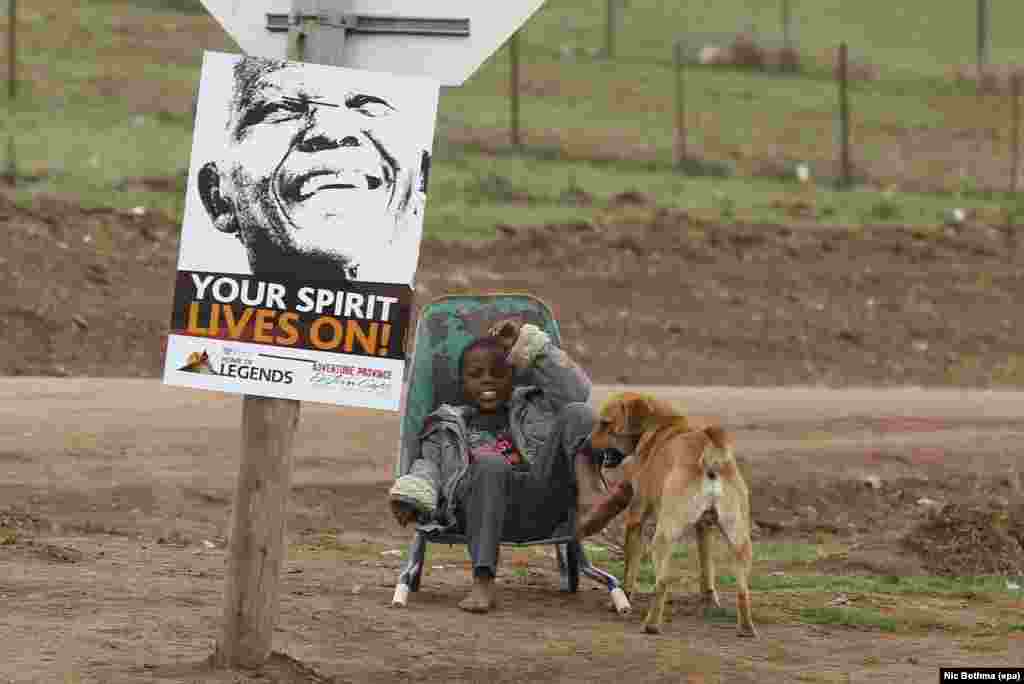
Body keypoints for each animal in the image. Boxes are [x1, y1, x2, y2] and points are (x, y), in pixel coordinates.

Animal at [589, 393, 757, 638]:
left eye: (605, 423)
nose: (585, 444)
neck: (660, 426)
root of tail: (711, 454)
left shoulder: (636, 519)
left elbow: (629, 570)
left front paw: (622, 599)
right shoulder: (704, 527)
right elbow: (706, 568)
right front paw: (708, 600)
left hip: (663, 537)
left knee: (662, 583)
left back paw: (651, 625)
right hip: (740, 541)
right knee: (743, 589)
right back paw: (746, 629)